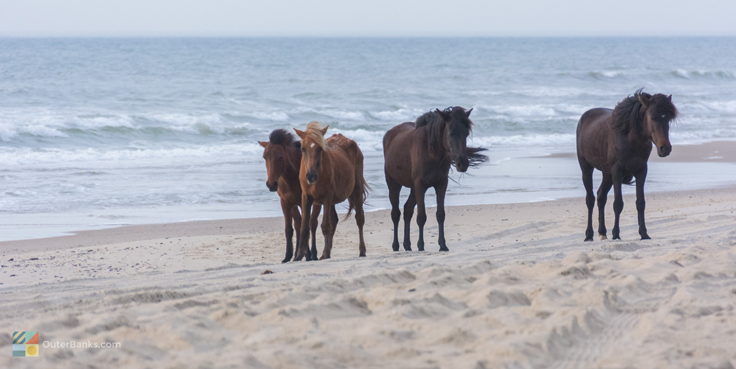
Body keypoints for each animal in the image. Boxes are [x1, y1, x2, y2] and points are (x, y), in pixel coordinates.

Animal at [262, 129, 322, 262]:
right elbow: (290, 228)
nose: (271, 184)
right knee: (299, 223)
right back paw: (297, 255)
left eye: (280, 157)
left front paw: (307, 254)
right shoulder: (286, 203)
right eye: (264, 156)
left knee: (313, 223)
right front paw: (288, 256)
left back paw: (313, 254)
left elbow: (306, 225)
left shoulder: (304, 202)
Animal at [290, 121, 366, 258]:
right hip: (332, 201)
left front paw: (324, 253)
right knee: (334, 220)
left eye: (320, 149)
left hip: (356, 190)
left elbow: (325, 225)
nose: (311, 176)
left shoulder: (326, 197)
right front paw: (299, 255)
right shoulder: (306, 197)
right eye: (303, 148)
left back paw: (362, 250)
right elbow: (304, 226)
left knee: (359, 219)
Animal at [382, 105, 486, 252]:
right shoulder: (420, 185)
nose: (463, 164)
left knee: (407, 210)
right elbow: (421, 216)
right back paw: (396, 245)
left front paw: (443, 245)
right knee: (395, 213)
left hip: (413, 188)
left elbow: (440, 215)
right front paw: (421, 245)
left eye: (466, 133)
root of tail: (390, 134)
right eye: (451, 133)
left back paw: (407, 245)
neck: (431, 152)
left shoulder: (441, 184)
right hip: (394, 184)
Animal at [576, 90, 680, 242]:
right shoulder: (617, 171)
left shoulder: (641, 171)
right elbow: (618, 203)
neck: (631, 138)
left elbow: (641, 203)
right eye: (653, 117)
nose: (665, 148)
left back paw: (602, 232)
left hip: (607, 173)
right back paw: (589, 235)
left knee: (601, 197)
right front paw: (616, 234)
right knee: (590, 199)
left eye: (668, 119)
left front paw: (644, 234)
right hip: (586, 168)